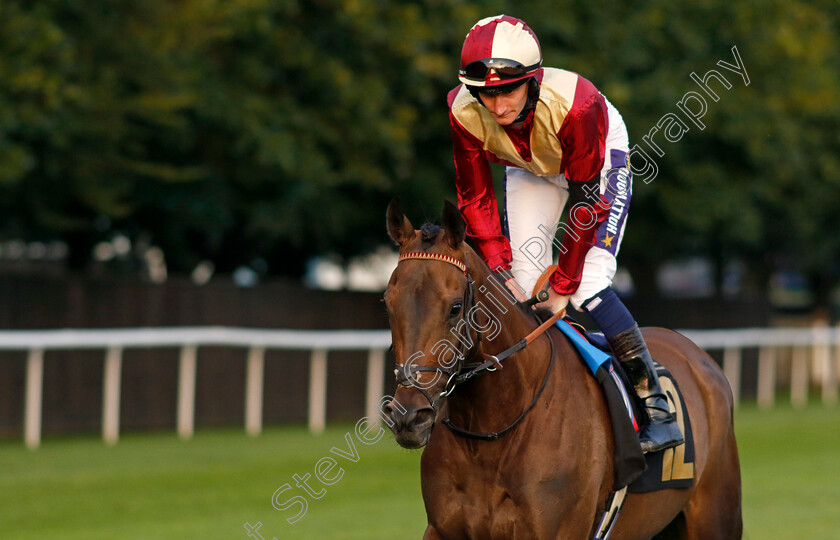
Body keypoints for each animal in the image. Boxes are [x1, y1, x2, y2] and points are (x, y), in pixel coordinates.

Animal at [380, 200, 740, 536]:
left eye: (455, 307)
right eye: (388, 302)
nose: (409, 416)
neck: (490, 435)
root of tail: (697, 354)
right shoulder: (441, 528)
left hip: (716, 517)